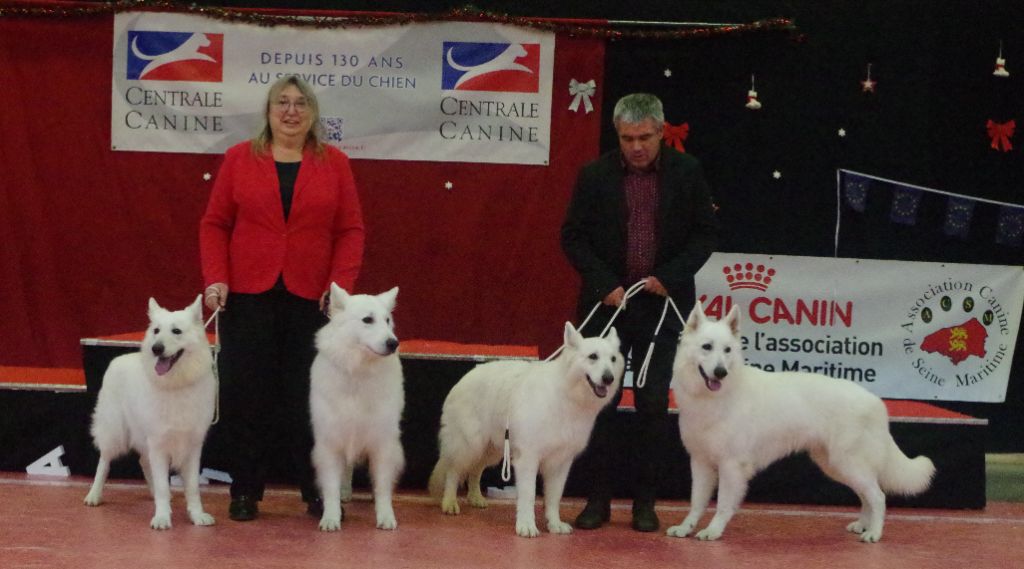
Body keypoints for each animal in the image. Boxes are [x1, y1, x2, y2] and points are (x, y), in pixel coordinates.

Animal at [84, 294, 218, 532]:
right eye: (156, 330)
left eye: (176, 331)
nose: (156, 348)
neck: (175, 385)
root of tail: (118, 359)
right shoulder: (159, 443)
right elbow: (164, 485)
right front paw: (162, 517)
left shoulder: (192, 447)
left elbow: (192, 488)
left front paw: (197, 515)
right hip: (115, 432)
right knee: (104, 462)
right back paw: (94, 495)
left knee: (143, 462)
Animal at [307, 286, 403, 532]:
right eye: (368, 320)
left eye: (387, 321)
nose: (393, 343)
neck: (358, 371)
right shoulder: (331, 443)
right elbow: (330, 487)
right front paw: (331, 518)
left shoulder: (382, 443)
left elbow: (382, 486)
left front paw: (386, 517)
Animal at [425, 325, 622, 536]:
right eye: (593, 356)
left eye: (613, 359)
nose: (609, 378)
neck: (566, 394)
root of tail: (466, 377)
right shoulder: (528, 459)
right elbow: (529, 495)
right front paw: (526, 525)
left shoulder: (560, 463)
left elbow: (554, 498)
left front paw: (554, 524)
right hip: (469, 444)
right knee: (453, 471)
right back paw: (449, 503)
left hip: (492, 450)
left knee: (475, 470)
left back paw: (475, 498)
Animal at [667, 302, 933, 540]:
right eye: (707, 347)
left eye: (727, 350)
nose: (721, 372)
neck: (716, 397)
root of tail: (876, 401)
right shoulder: (700, 462)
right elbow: (696, 502)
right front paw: (685, 528)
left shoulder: (731, 466)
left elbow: (722, 504)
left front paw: (713, 530)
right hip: (837, 465)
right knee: (866, 495)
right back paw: (862, 526)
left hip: (848, 463)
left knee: (878, 496)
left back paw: (874, 533)